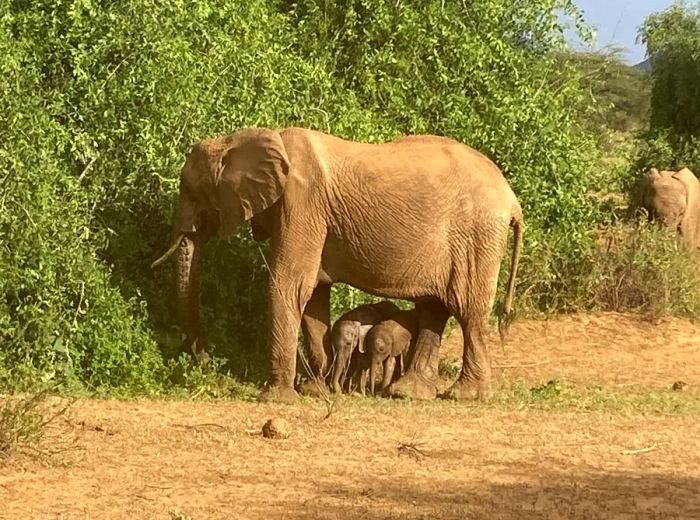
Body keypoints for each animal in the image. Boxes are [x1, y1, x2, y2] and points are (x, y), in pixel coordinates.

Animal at [154, 126, 524, 402]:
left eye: (191, 189)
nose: (204, 360)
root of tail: (512, 199)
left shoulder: (302, 202)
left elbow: (289, 283)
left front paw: (277, 399)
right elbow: (314, 294)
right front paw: (315, 391)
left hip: (477, 236)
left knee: (468, 310)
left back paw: (465, 395)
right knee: (434, 307)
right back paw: (408, 393)